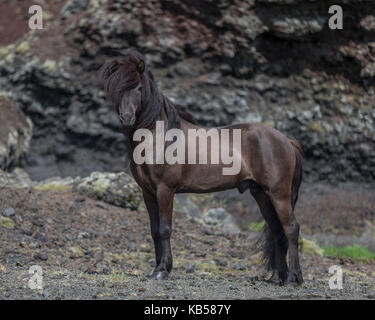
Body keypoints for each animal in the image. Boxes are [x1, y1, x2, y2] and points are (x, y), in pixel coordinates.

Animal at [100, 50, 306, 284]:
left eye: (138, 88)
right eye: (117, 89)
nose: (126, 118)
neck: (158, 138)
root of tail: (287, 141)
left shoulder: (165, 190)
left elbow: (164, 229)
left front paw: (163, 269)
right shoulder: (148, 192)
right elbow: (154, 231)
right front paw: (156, 268)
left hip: (278, 194)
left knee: (291, 228)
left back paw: (293, 278)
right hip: (261, 194)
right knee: (277, 230)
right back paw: (278, 277)